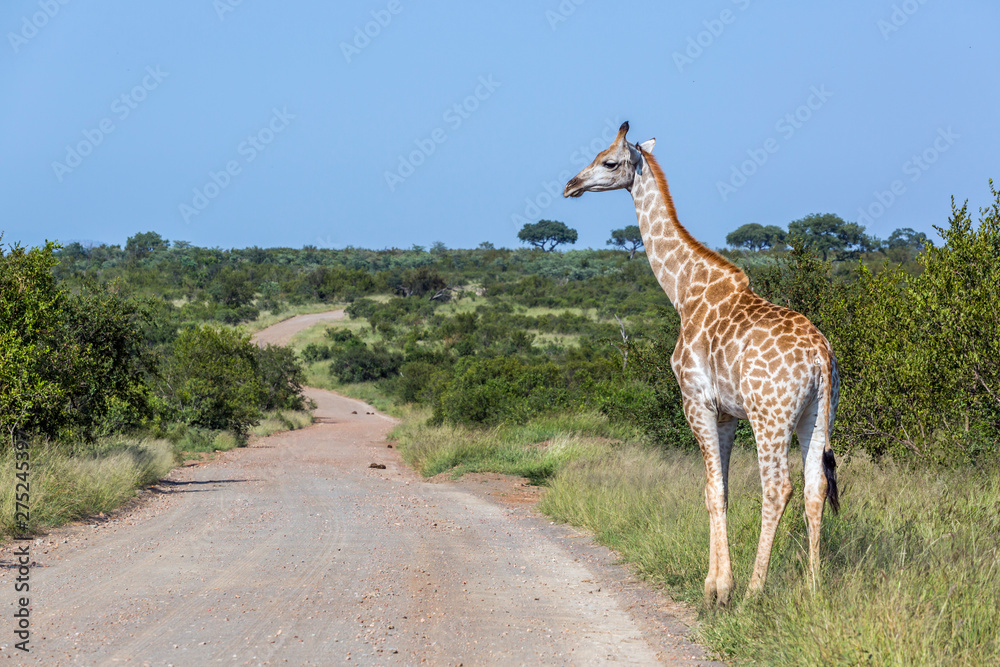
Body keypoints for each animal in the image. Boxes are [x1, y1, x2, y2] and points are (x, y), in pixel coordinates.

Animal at [564, 122, 839, 606]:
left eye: (609, 162)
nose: (570, 185)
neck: (684, 291)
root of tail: (820, 356)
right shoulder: (726, 413)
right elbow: (721, 490)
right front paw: (714, 583)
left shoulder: (696, 402)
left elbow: (712, 490)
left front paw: (721, 589)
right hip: (818, 413)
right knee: (815, 487)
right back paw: (813, 587)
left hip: (770, 416)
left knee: (778, 488)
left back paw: (754, 591)